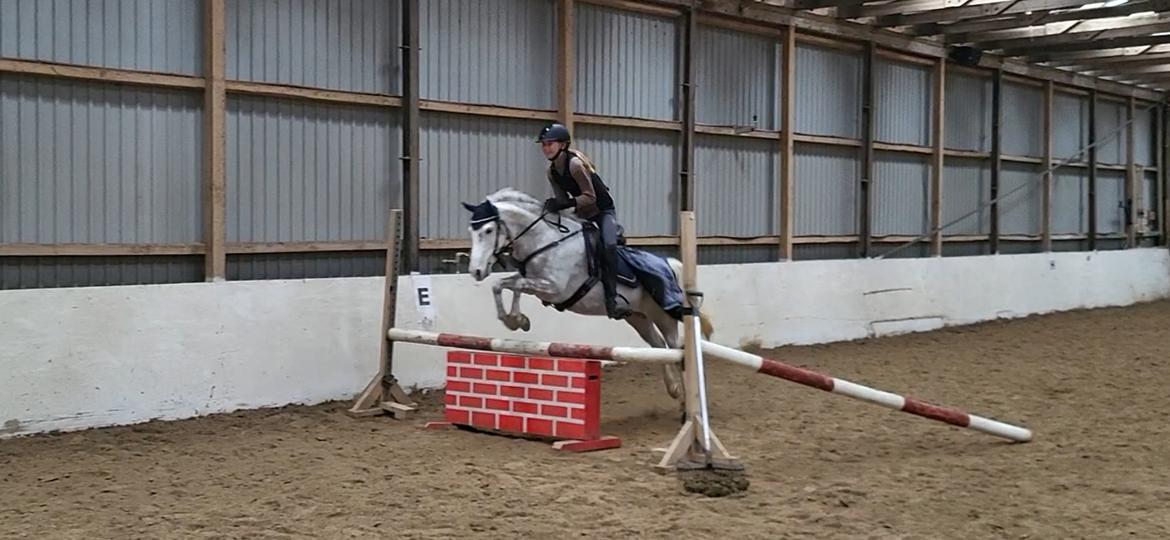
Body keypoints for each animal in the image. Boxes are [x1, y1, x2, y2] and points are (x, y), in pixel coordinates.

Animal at [461, 187, 714, 401]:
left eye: (488, 230)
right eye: (471, 231)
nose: (476, 271)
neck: (546, 241)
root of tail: (669, 264)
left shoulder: (554, 288)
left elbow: (515, 286)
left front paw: (516, 319)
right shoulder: (535, 282)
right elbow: (503, 285)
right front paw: (515, 320)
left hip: (663, 315)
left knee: (676, 348)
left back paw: (686, 400)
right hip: (637, 317)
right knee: (659, 346)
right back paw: (674, 389)